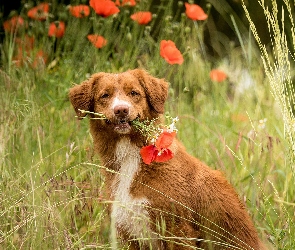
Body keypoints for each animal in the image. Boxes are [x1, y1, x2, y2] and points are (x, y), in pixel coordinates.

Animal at [69, 69, 266, 250]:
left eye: (134, 93)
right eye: (105, 95)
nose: (121, 110)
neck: (131, 158)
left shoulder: (177, 230)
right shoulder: (128, 231)